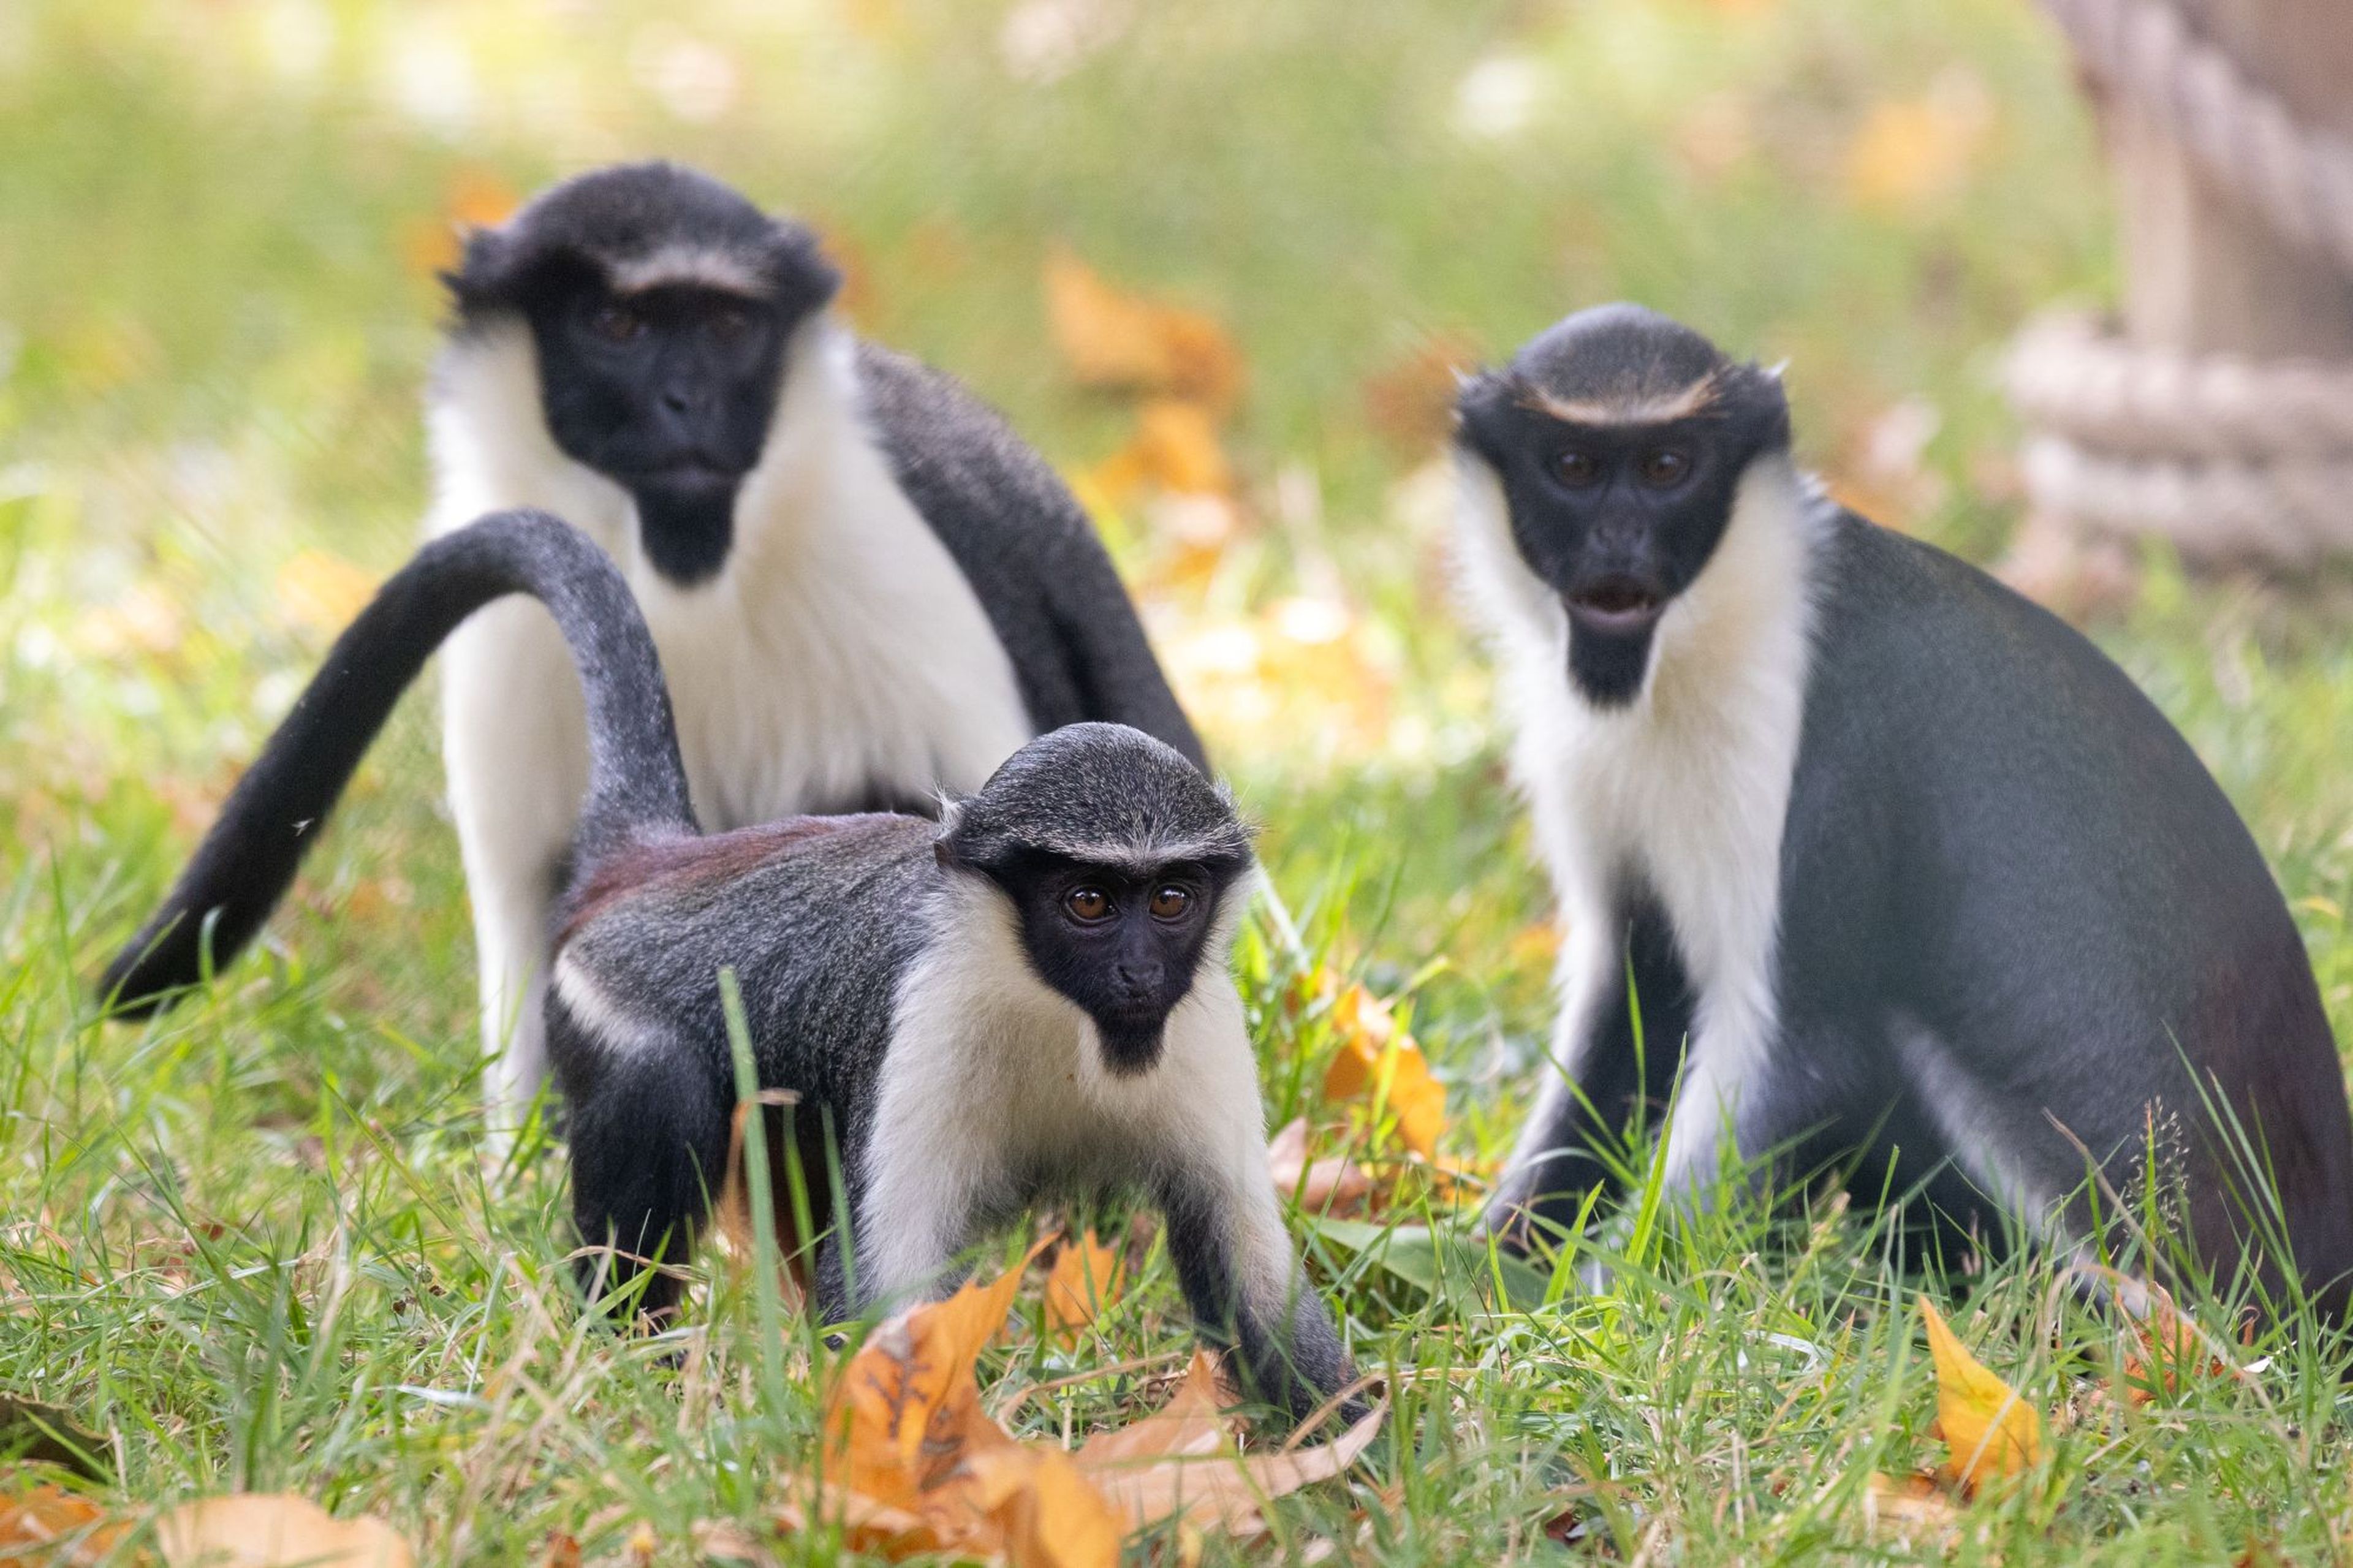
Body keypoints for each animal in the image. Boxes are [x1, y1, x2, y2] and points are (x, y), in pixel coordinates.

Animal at [100, 510, 1355, 1416]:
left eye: (1172, 898)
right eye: (1090, 901)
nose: (1141, 975)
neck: (1066, 1020)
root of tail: (651, 858)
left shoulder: (1199, 1034)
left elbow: (1253, 1280)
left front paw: (1349, 1471)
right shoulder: (931, 1021)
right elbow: (883, 1289)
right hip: (602, 1002)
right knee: (659, 1094)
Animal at [1452, 303, 2353, 1318]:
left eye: (1665, 467)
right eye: (1572, 466)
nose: (1617, 543)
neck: (1694, 645)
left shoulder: (1828, 745)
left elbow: (1807, 1049)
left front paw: (1584, 1314)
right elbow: (1635, 995)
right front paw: (1483, 1263)